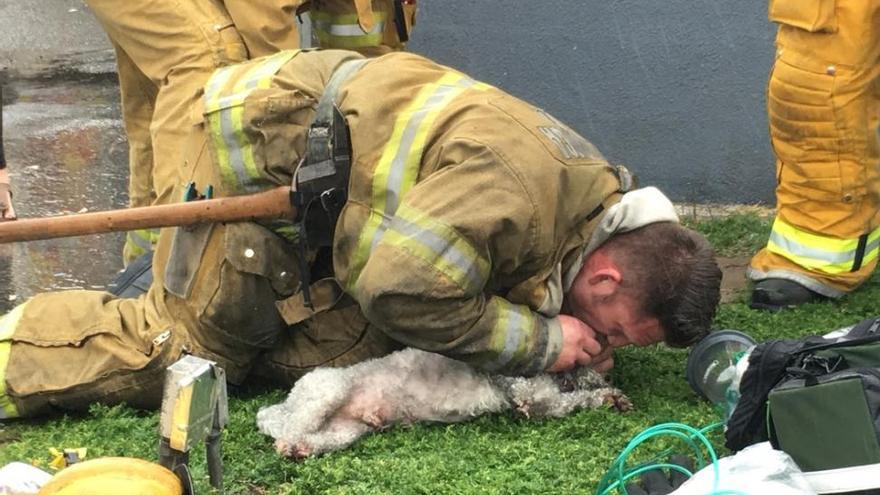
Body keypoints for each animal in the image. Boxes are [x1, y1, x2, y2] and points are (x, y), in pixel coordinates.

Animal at [256, 346, 632, 460]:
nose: (608, 377)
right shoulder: (533, 396)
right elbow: (568, 398)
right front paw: (606, 395)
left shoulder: (548, 402)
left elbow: (575, 399)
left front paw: (611, 398)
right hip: (326, 391)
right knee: (287, 431)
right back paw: (288, 445)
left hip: (345, 431)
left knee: (315, 439)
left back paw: (302, 450)